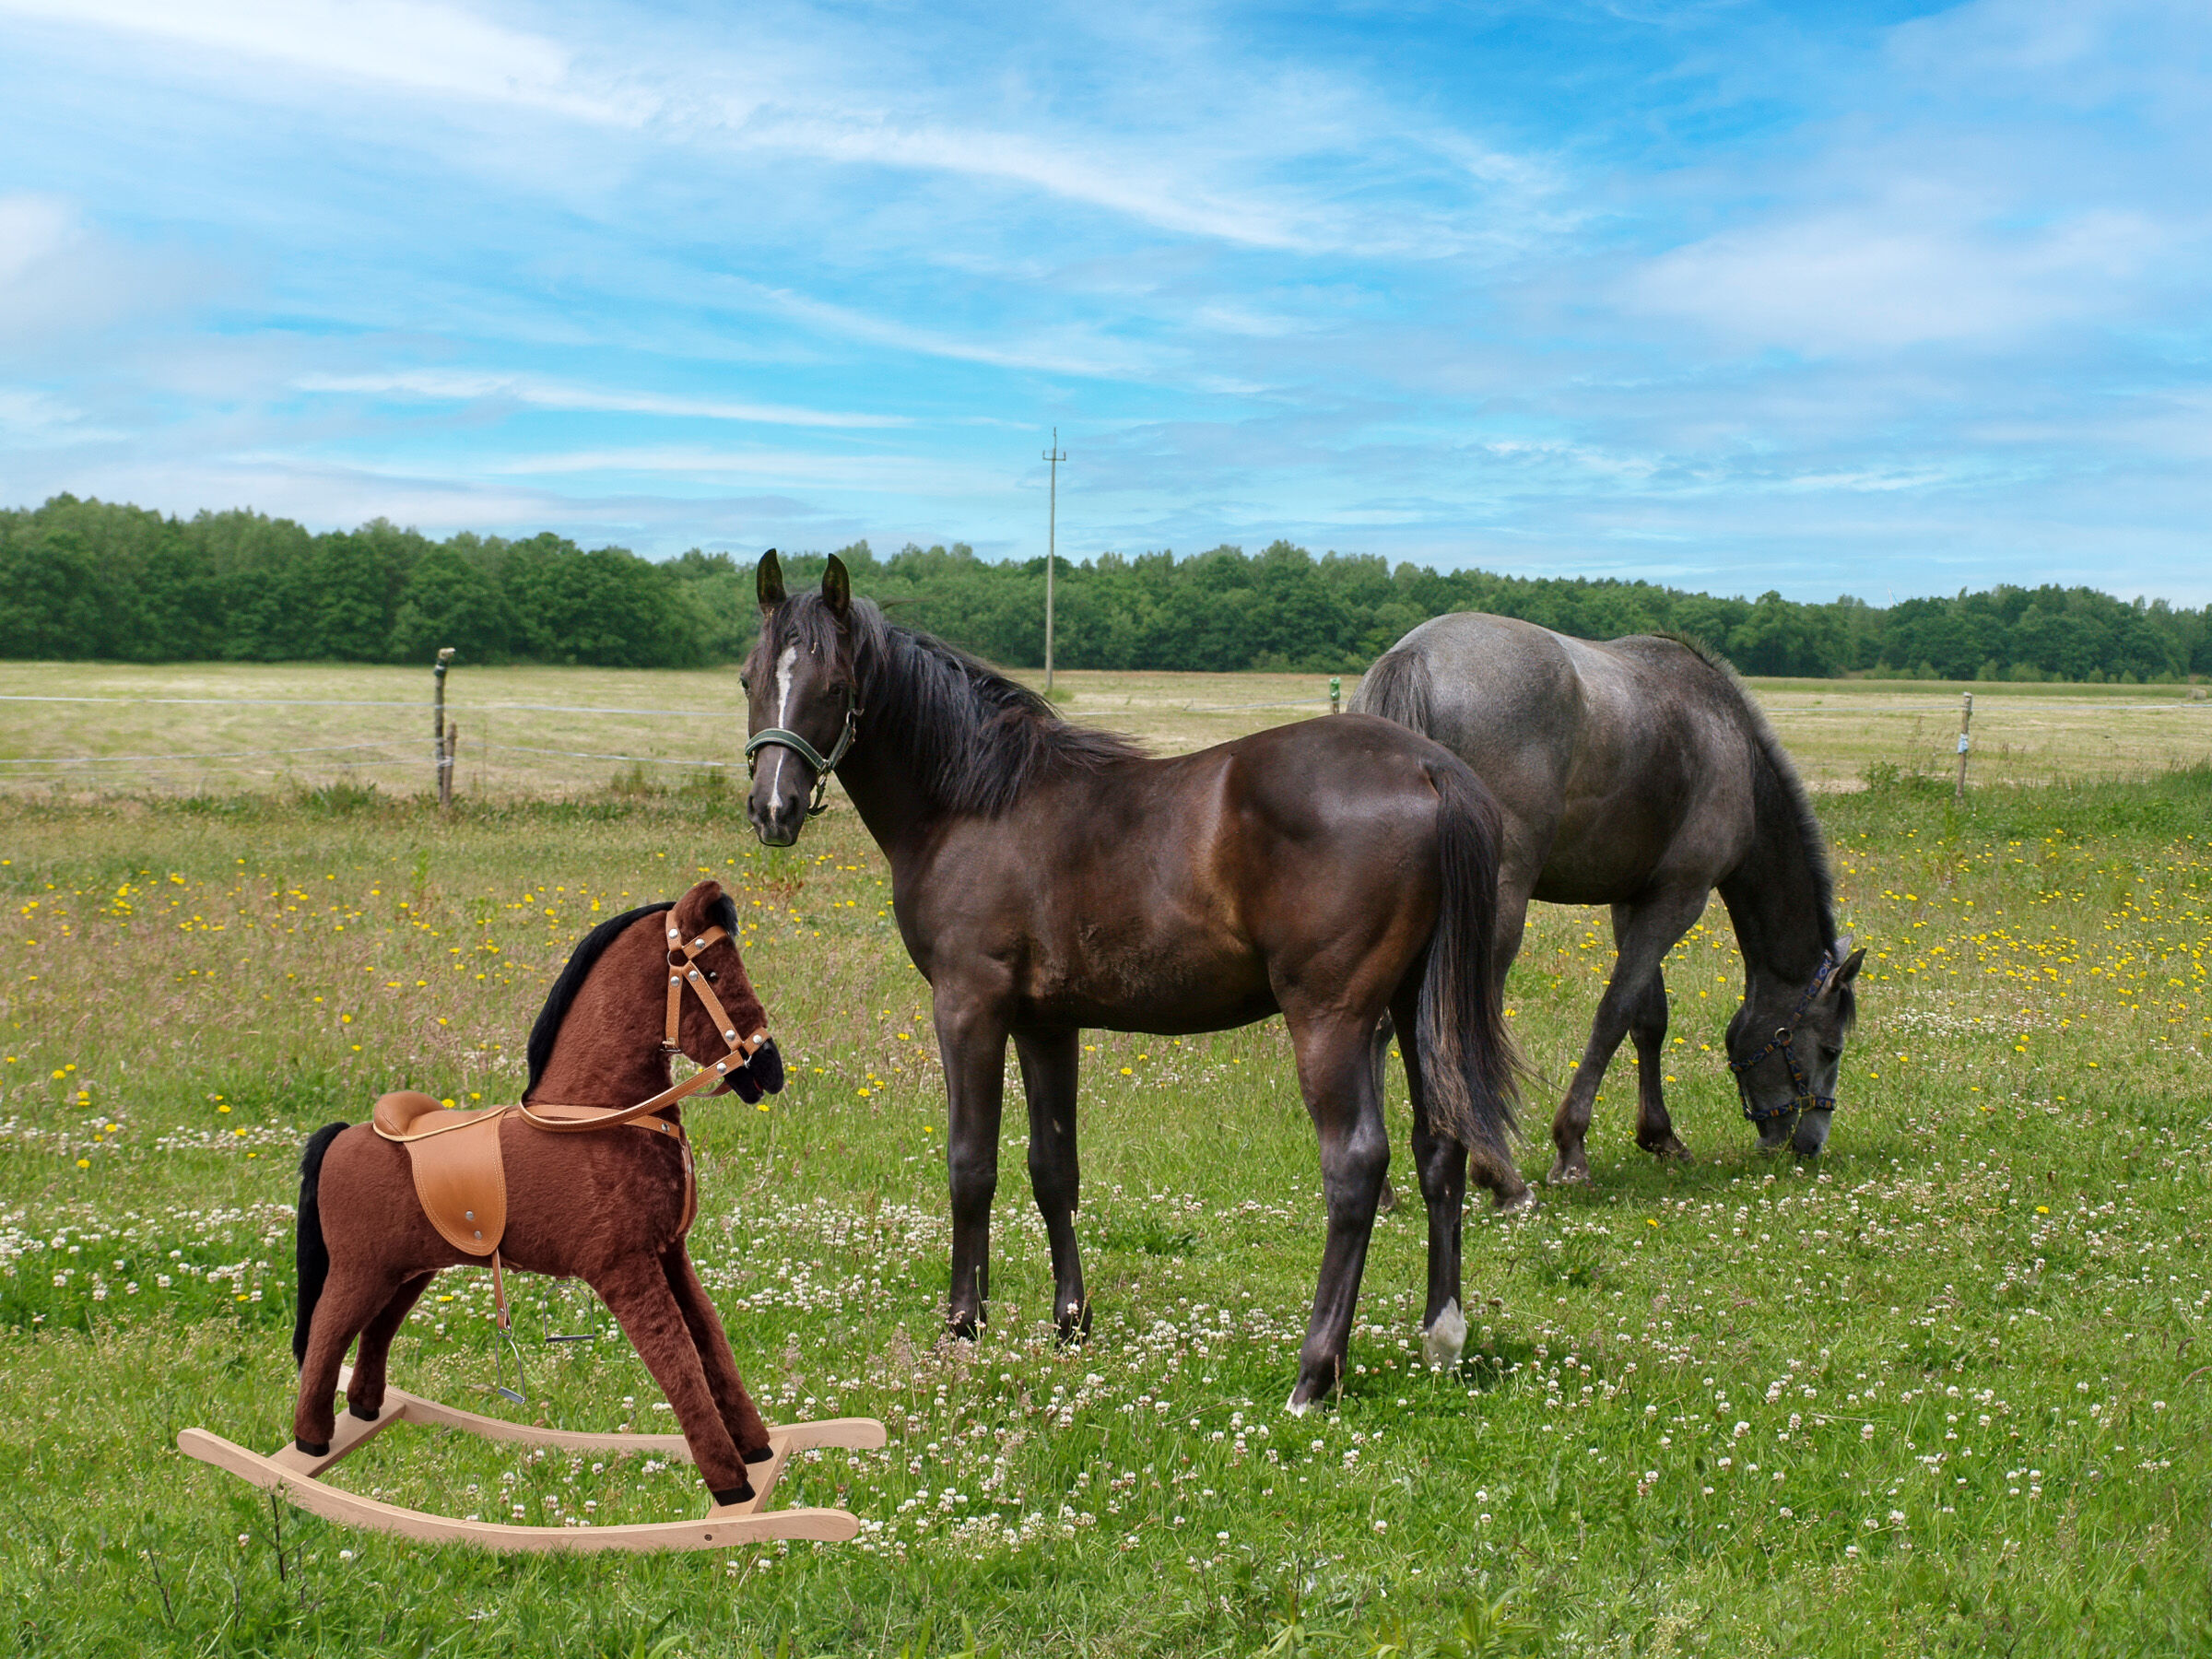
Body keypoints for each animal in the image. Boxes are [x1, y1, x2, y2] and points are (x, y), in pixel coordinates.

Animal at [289, 879, 790, 1507]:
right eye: (715, 972)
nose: (769, 1070)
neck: (595, 1114)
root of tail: (339, 1138)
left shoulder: (670, 1253)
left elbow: (710, 1340)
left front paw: (758, 1450)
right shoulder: (623, 1268)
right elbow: (674, 1355)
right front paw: (731, 1486)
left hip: (411, 1269)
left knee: (376, 1331)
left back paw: (364, 1408)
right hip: (362, 1268)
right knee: (327, 1334)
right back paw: (311, 1441)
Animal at [739, 551, 1521, 1409]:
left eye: (835, 686)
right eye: (750, 678)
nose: (772, 809)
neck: (975, 805)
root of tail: (1430, 767)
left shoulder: (970, 1005)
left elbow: (970, 1165)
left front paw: (963, 1327)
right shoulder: (1046, 1022)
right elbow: (1053, 1169)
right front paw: (1070, 1324)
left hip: (1333, 1017)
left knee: (1355, 1167)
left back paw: (1314, 1375)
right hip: (1417, 1006)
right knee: (1439, 1146)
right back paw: (1442, 1338)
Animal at [1353, 613, 1865, 1183]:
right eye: (1830, 1049)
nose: (1807, 1145)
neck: (1738, 752)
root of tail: (1416, 656)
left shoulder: (1634, 900)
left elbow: (1649, 1018)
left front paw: (1661, 1136)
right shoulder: (1678, 900)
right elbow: (1614, 1013)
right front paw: (1571, 1148)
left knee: (1378, 1025)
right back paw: (1498, 1175)